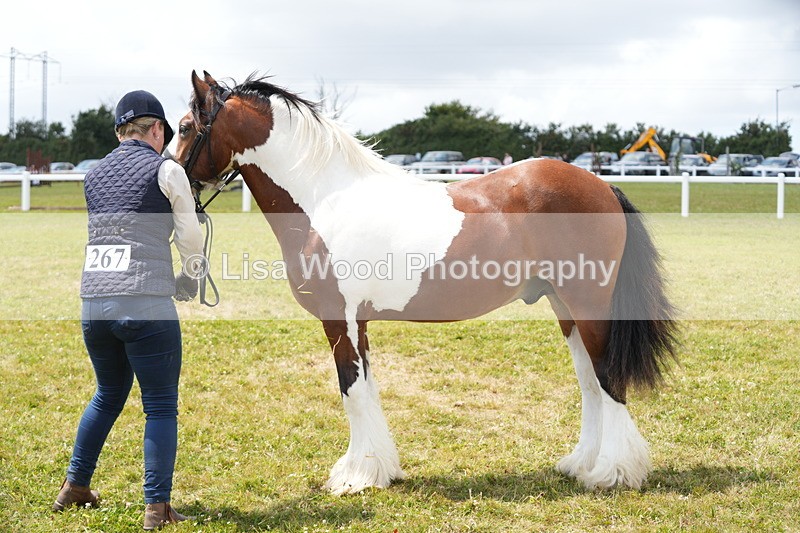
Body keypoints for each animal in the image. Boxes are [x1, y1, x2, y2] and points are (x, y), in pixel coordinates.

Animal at [171, 71, 678, 495]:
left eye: (184, 127)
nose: (171, 179)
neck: (326, 200)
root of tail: (601, 185)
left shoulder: (339, 319)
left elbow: (351, 391)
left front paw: (355, 478)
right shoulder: (359, 323)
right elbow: (367, 389)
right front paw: (377, 469)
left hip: (588, 305)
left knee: (609, 379)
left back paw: (612, 473)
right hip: (564, 307)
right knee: (590, 382)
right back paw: (580, 464)